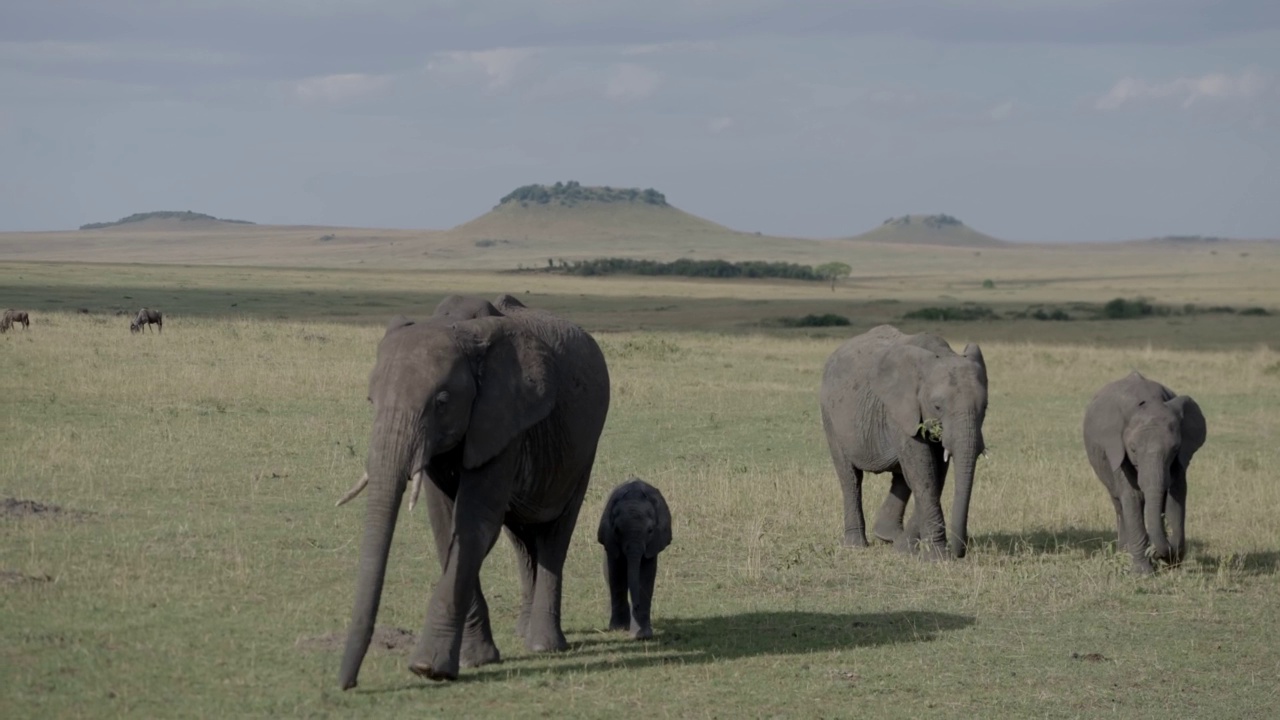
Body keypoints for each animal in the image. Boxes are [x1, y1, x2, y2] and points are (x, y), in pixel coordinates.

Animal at [330, 292, 609, 691]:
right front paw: (474, 659)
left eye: (442, 401)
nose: (346, 684)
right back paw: (523, 633)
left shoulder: (503, 416)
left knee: (555, 535)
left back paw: (543, 645)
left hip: (582, 452)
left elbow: (474, 524)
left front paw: (428, 668)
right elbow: (446, 525)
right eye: (371, 401)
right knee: (522, 538)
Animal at [596, 476, 675, 638]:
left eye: (650, 530)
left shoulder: (654, 543)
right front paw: (618, 629)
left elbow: (645, 575)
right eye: (617, 530)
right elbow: (616, 574)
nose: (636, 605)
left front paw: (643, 635)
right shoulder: (610, 538)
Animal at [819, 324, 988, 556]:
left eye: (985, 407)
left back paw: (889, 537)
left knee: (901, 476)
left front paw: (905, 550)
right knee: (850, 477)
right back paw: (856, 545)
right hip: (830, 416)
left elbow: (935, 473)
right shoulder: (899, 410)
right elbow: (923, 471)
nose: (958, 552)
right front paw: (937, 556)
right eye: (937, 406)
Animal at [1085, 368, 1203, 571]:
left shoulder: (1181, 458)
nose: (1156, 553)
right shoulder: (1117, 449)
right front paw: (1143, 572)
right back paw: (1123, 554)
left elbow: (1177, 495)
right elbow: (1133, 496)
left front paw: (1171, 564)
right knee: (1119, 504)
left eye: (1175, 449)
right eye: (1132, 450)